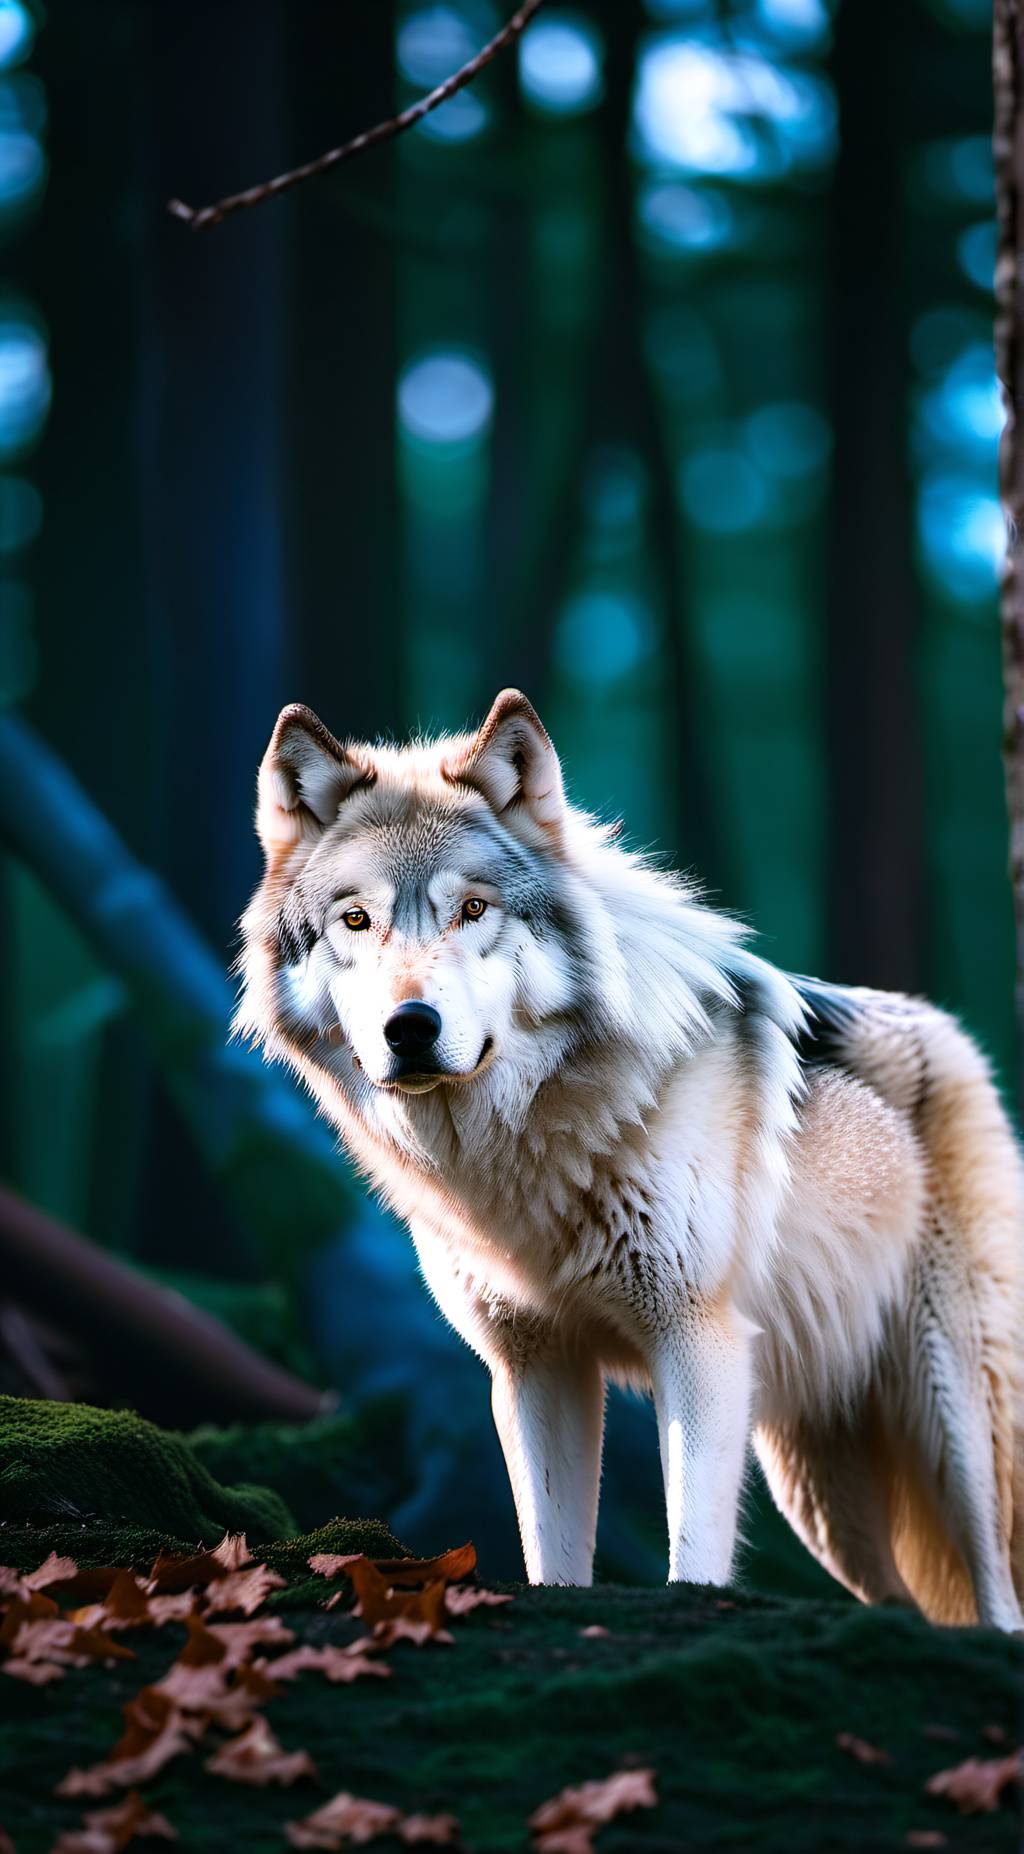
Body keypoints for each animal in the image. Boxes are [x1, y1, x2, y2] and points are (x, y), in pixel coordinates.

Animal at [236, 689, 1024, 1629]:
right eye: (356, 920)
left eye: (474, 911)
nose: (410, 1028)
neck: (530, 1148)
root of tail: (951, 1034)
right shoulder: (534, 1367)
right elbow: (551, 1550)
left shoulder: (696, 1340)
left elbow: (693, 1552)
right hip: (817, 1489)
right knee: (903, 1600)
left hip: (950, 1422)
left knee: (997, 1597)